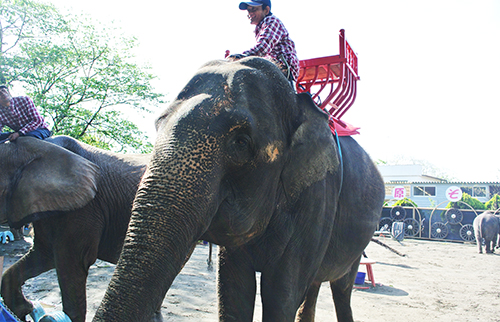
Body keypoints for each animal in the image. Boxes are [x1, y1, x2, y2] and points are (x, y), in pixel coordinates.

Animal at [93, 56, 382, 320]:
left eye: (241, 142)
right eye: (158, 125)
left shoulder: (318, 197)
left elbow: (281, 296)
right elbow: (234, 290)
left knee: (341, 287)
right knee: (315, 287)